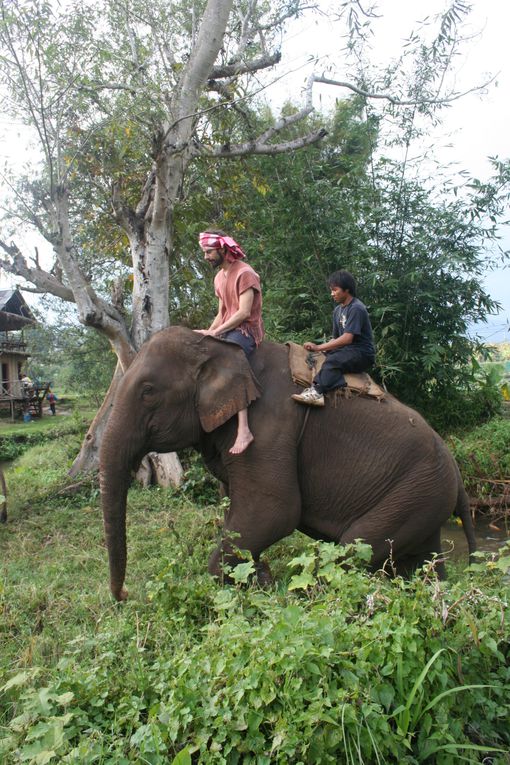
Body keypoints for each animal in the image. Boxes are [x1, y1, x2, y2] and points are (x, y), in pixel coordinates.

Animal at [100, 326, 478, 600]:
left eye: (148, 391)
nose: (126, 594)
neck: (217, 345)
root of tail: (458, 474)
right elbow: (238, 512)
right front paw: (258, 578)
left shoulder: (269, 426)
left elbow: (274, 511)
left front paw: (254, 584)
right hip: (425, 499)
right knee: (422, 561)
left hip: (416, 492)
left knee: (357, 548)